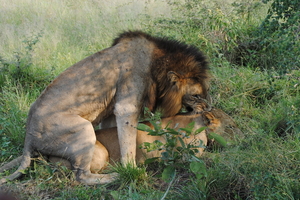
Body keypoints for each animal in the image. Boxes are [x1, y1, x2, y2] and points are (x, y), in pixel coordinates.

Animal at [0, 30, 210, 184]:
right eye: (197, 95)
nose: (208, 107)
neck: (156, 64)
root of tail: (28, 137)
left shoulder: (110, 110)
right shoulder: (126, 106)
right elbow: (128, 145)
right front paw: (131, 172)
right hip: (82, 129)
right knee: (81, 176)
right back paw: (113, 177)